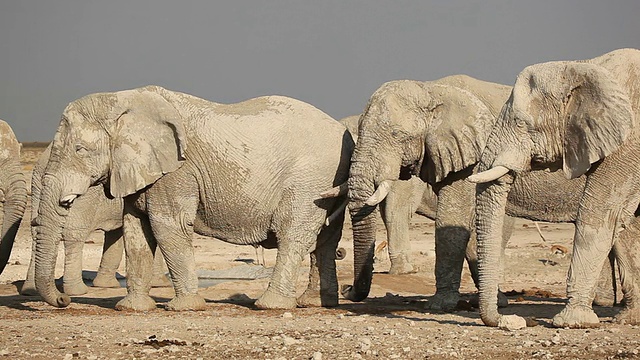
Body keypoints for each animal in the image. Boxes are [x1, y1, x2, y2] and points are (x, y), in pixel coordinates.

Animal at [33, 86, 356, 310]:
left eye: (80, 149)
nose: (63, 301)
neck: (123, 100)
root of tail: (345, 133)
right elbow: (136, 230)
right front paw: (133, 309)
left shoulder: (177, 169)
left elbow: (168, 226)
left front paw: (183, 308)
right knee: (325, 240)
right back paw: (316, 303)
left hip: (309, 179)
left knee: (294, 234)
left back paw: (269, 305)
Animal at [342, 74, 616, 312]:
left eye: (398, 135)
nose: (346, 289)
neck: (432, 89)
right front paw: (492, 300)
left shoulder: (471, 154)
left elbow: (451, 219)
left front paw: (440, 305)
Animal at [468, 46, 640, 328]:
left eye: (521, 123)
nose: (513, 319)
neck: (585, 66)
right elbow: (626, 223)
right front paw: (628, 319)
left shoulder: (630, 144)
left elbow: (602, 211)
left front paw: (571, 322)